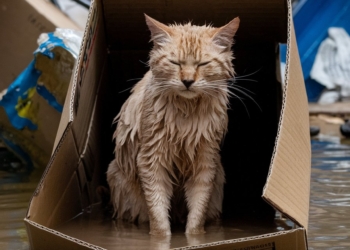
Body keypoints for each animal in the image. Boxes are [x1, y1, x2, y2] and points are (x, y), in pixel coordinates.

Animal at [106, 14, 239, 236]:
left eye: (203, 64)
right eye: (175, 63)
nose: (187, 81)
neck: (186, 115)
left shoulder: (206, 162)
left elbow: (197, 214)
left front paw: (194, 236)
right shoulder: (151, 160)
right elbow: (158, 214)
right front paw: (161, 238)